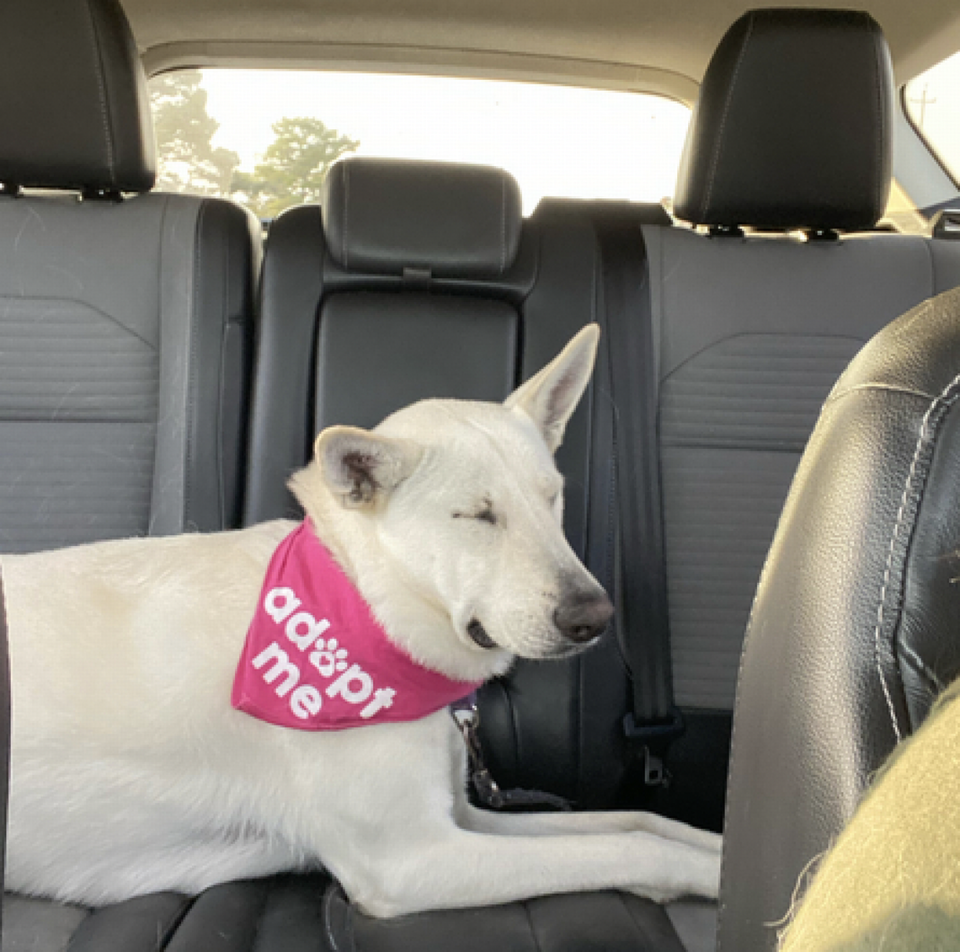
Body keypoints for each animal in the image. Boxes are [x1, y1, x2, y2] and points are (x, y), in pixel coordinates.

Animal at [0, 326, 720, 916]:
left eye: (552, 499)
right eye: (477, 515)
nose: (594, 617)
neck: (366, 607)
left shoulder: (462, 817)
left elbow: (638, 823)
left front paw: (721, 848)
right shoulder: (410, 859)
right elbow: (632, 848)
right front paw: (711, 880)